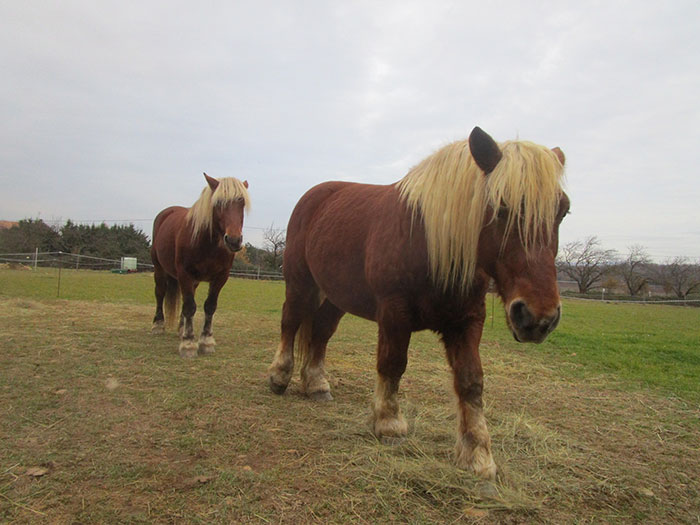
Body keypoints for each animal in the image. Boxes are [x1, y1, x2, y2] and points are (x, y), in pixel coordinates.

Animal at [151, 173, 250, 358]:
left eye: (242, 203)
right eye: (218, 203)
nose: (233, 240)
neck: (207, 243)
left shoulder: (220, 277)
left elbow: (209, 306)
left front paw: (206, 341)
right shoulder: (184, 274)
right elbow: (190, 306)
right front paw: (188, 344)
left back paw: (181, 329)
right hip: (159, 269)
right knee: (160, 293)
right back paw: (158, 325)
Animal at [268, 127, 569, 479]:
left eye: (563, 210)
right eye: (500, 207)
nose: (538, 317)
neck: (429, 242)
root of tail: (315, 196)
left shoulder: (468, 320)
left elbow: (471, 381)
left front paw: (478, 455)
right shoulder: (393, 313)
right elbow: (392, 365)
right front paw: (389, 424)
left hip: (336, 296)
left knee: (320, 332)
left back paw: (317, 385)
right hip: (300, 282)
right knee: (290, 322)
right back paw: (279, 376)